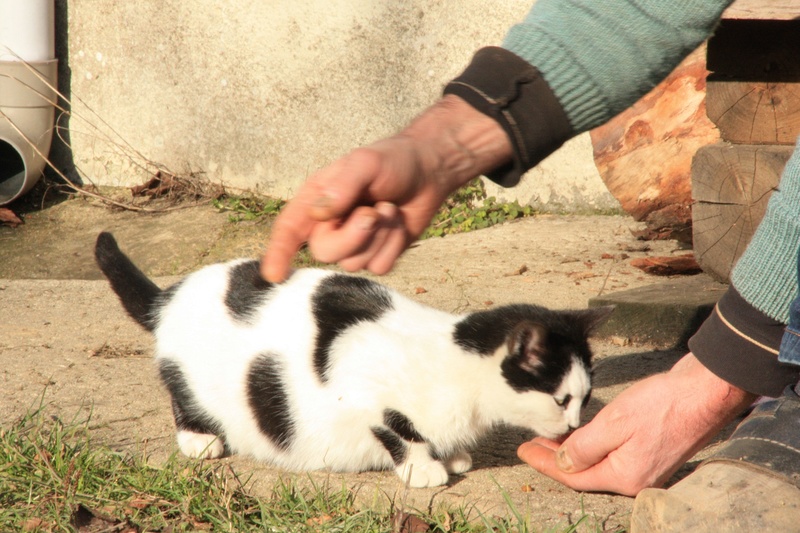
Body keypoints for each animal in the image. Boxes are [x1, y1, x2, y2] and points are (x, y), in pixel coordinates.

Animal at [97, 231, 612, 488]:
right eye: (562, 399)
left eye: (586, 399)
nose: (574, 427)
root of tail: (171, 295)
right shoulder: (358, 378)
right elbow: (398, 429)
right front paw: (424, 468)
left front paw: (454, 456)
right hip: (192, 377)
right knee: (181, 394)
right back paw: (199, 439)